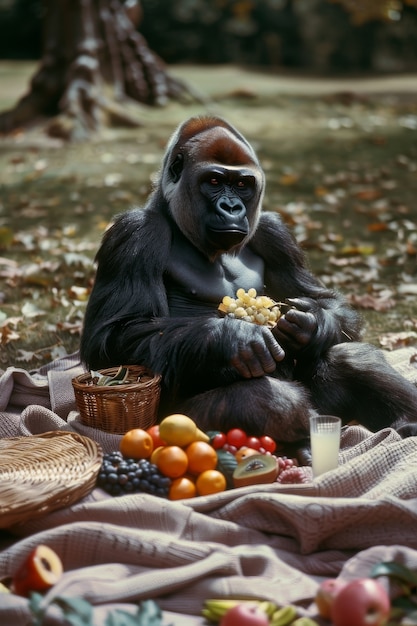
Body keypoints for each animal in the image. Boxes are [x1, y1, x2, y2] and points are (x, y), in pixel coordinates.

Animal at [79, 114, 416, 442]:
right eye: (214, 181)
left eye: (242, 184)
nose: (232, 207)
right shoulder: (134, 233)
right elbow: (114, 336)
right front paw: (233, 338)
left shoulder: (273, 231)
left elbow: (326, 301)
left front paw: (311, 324)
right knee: (266, 397)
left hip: (331, 415)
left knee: (350, 355)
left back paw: (405, 422)